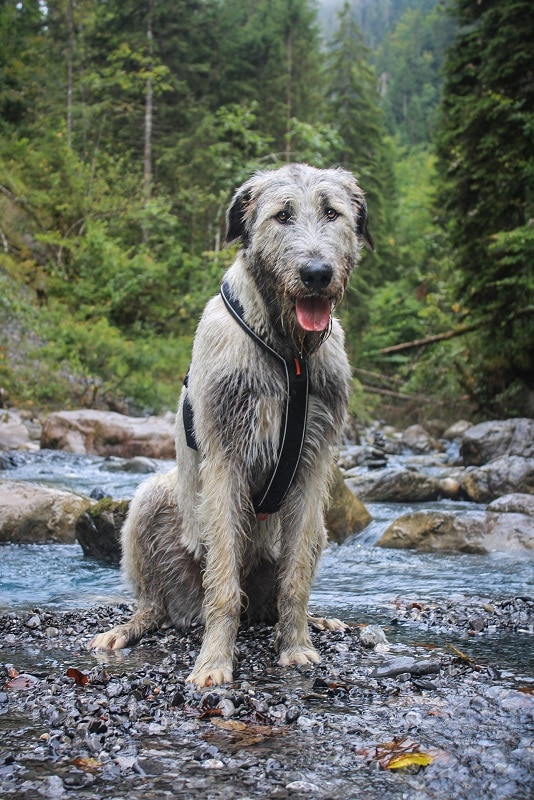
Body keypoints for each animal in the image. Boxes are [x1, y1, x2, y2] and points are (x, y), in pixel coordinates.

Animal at [90, 162, 372, 688]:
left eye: (332, 212)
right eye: (282, 215)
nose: (317, 274)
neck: (286, 351)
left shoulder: (312, 464)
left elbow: (296, 577)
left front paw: (296, 645)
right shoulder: (225, 457)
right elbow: (222, 581)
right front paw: (214, 662)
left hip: (317, 531)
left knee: (277, 589)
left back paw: (312, 620)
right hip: (153, 503)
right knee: (158, 599)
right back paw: (131, 627)